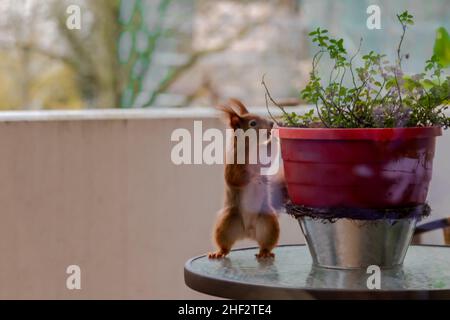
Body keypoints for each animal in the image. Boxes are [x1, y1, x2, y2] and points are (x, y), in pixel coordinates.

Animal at [208, 99, 280, 258]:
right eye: (253, 123)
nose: (271, 124)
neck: (251, 148)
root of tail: (247, 232)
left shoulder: (261, 155)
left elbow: (269, 155)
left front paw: (276, 134)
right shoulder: (232, 164)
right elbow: (234, 178)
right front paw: (255, 178)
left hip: (268, 222)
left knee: (265, 244)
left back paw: (265, 253)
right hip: (227, 223)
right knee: (225, 245)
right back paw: (219, 253)